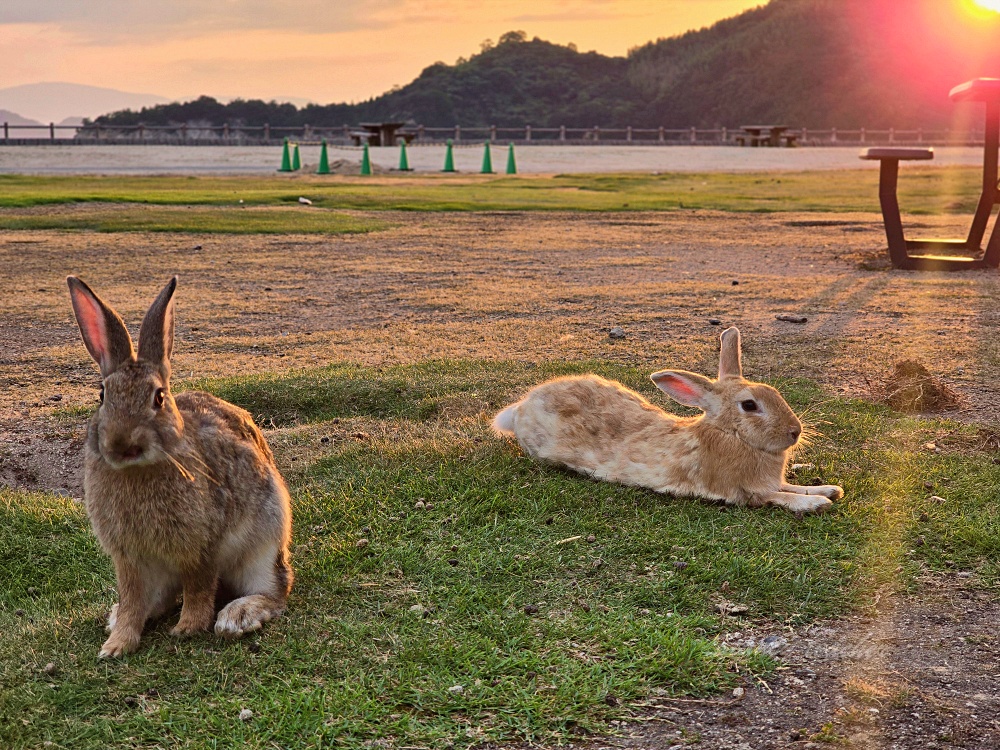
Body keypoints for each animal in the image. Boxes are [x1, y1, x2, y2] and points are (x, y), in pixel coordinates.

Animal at [66, 276, 292, 656]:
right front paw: (116, 644)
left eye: (158, 397)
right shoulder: (128, 558)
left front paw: (188, 628)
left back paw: (237, 616)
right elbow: (132, 600)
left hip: (263, 544)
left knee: (275, 591)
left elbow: (199, 588)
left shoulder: (201, 546)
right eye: (101, 395)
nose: (122, 445)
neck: (141, 469)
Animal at [492, 328, 844, 516]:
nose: (795, 432)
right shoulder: (744, 492)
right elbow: (777, 496)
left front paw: (829, 489)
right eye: (749, 405)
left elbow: (790, 485)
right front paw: (815, 503)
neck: (731, 434)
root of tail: (521, 407)